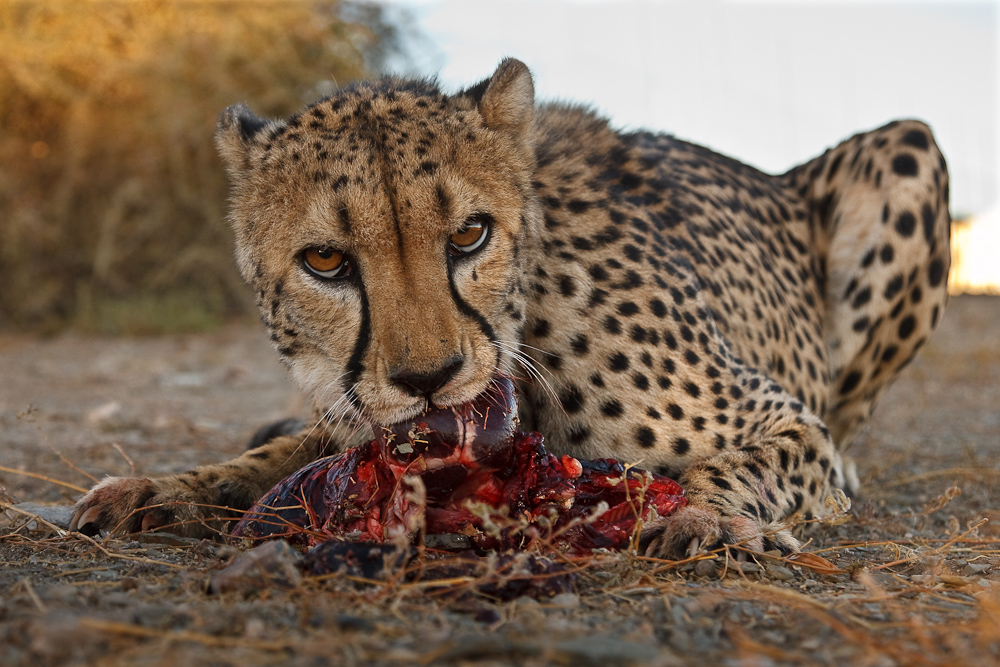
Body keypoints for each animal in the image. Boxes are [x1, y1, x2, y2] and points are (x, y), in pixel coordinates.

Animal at [72, 58, 952, 560]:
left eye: (470, 233)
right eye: (325, 260)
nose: (430, 377)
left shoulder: (789, 420)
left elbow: (740, 461)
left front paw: (705, 514)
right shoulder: (362, 426)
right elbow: (275, 460)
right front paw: (166, 486)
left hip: (908, 148)